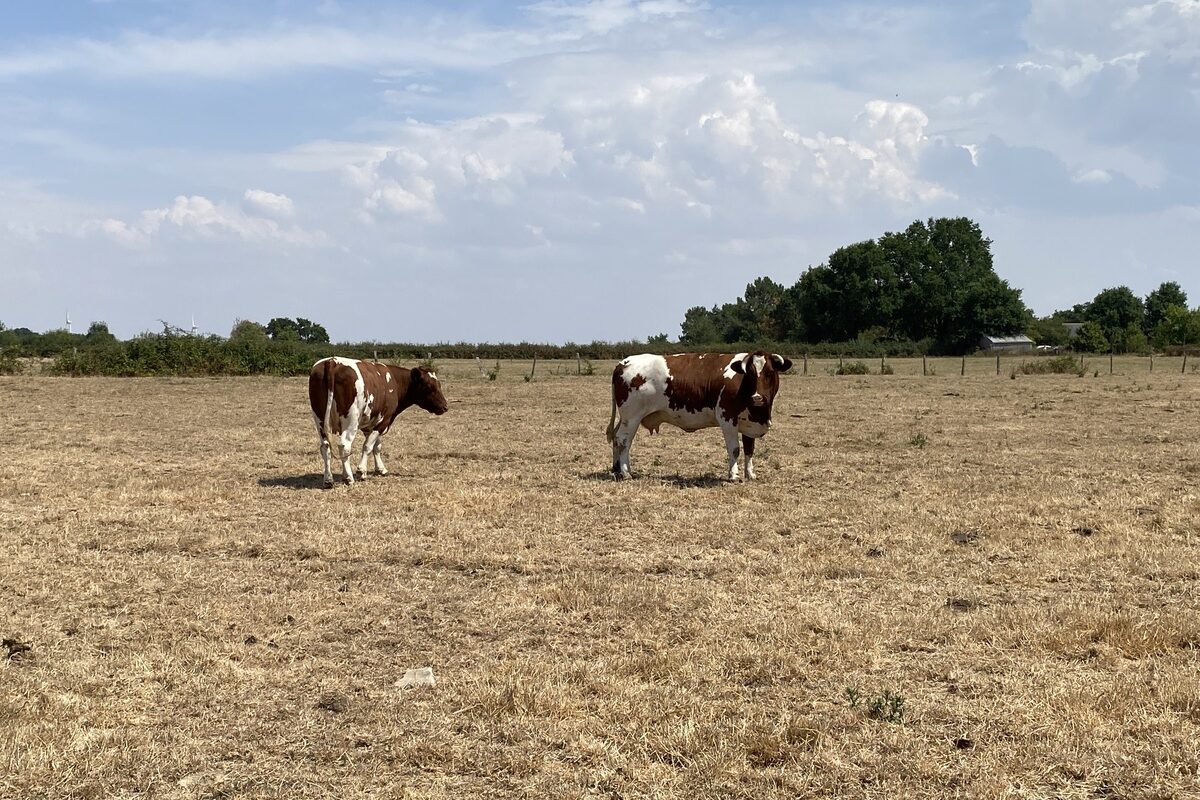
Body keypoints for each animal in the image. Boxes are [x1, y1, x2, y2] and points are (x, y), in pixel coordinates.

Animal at [308, 357, 448, 487]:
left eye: (439, 385)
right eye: (429, 387)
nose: (445, 407)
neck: (395, 381)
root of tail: (332, 362)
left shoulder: (371, 424)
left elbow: (376, 446)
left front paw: (380, 469)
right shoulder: (384, 421)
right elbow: (368, 446)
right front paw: (362, 471)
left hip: (320, 420)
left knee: (325, 447)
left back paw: (328, 479)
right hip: (351, 421)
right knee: (344, 446)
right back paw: (348, 478)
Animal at [605, 351, 793, 481]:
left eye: (769, 373)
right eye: (751, 374)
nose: (757, 397)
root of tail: (624, 362)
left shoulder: (749, 423)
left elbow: (749, 449)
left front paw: (750, 474)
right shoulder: (727, 419)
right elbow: (735, 449)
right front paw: (733, 475)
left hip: (626, 418)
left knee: (617, 439)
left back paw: (618, 469)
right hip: (631, 417)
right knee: (623, 440)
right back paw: (625, 472)